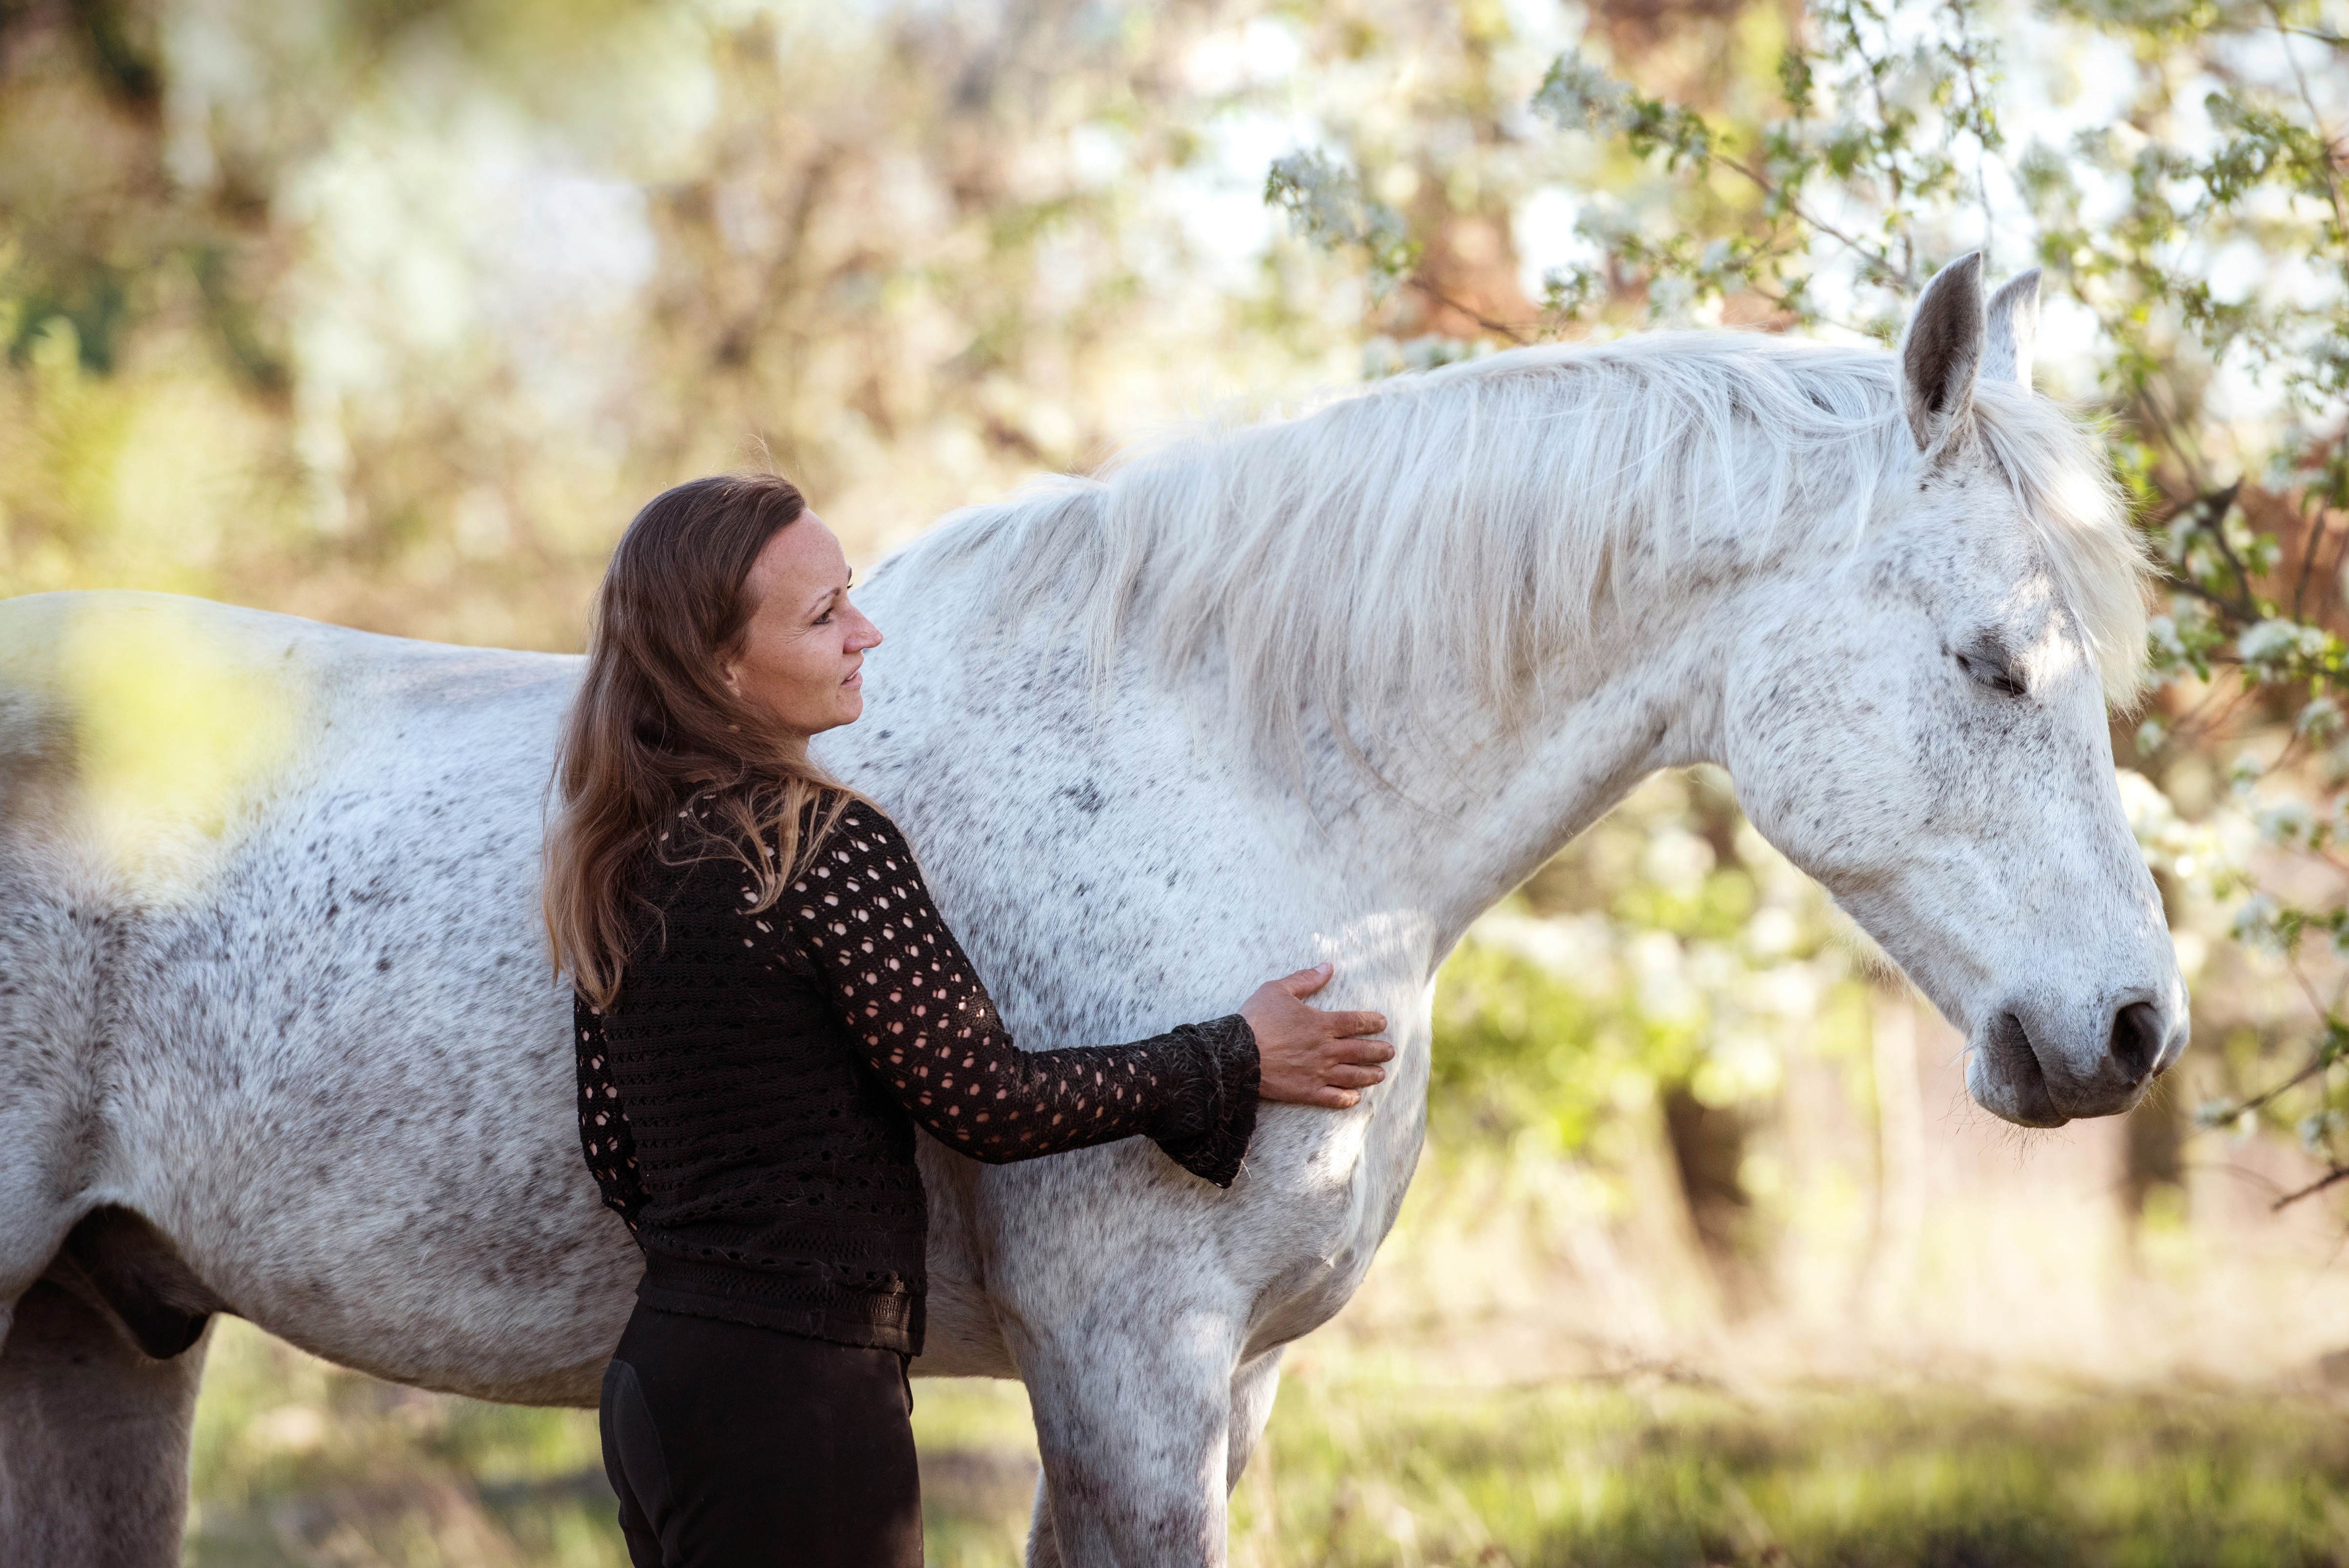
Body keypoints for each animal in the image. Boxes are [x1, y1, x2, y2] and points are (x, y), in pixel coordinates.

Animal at [0, 256, 2183, 1564]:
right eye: (1997, 663)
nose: (2132, 1028)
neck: (1242, 777)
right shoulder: (1134, 1365)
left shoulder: (1218, 1386)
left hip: (102, 1337)